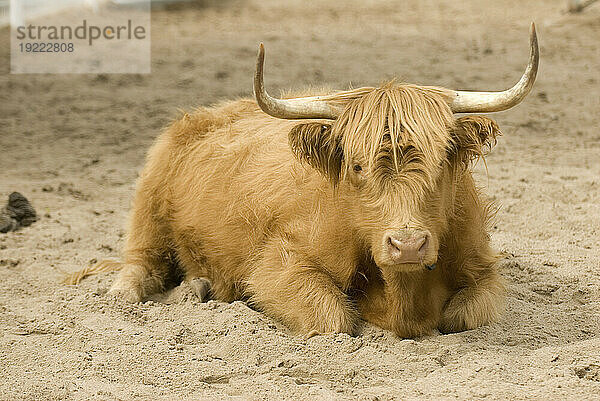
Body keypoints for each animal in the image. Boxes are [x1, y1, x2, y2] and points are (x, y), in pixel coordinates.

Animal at [69, 24, 540, 338]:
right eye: (356, 166)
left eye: (442, 159)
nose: (407, 245)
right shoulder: (276, 266)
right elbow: (333, 318)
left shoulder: (483, 269)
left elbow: (467, 314)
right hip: (147, 203)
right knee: (139, 264)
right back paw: (136, 295)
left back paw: (196, 286)